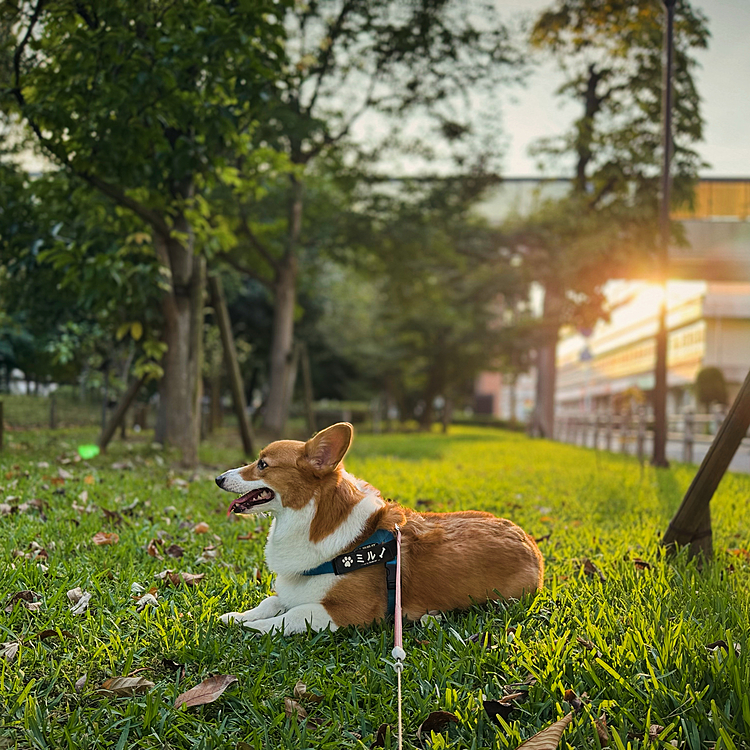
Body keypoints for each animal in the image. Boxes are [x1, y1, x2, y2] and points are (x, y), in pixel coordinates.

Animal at [217, 424, 548, 636]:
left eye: (262, 464)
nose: (219, 478)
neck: (311, 520)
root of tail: (532, 546)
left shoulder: (351, 612)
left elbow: (291, 616)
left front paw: (251, 627)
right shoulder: (292, 592)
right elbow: (272, 601)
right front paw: (238, 616)